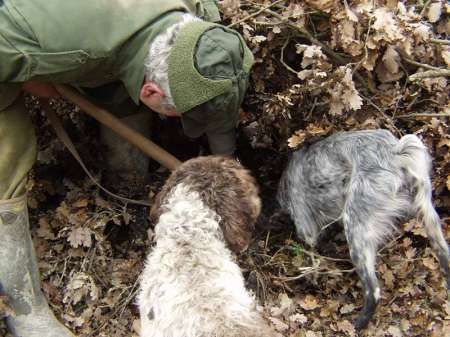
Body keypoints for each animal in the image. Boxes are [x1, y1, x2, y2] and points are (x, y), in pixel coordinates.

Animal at [278, 128, 450, 328]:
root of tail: (394, 152)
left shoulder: (305, 227)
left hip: (355, 228)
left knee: (373, 290)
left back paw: (357, 324)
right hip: (428, 213)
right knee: (444, 254)